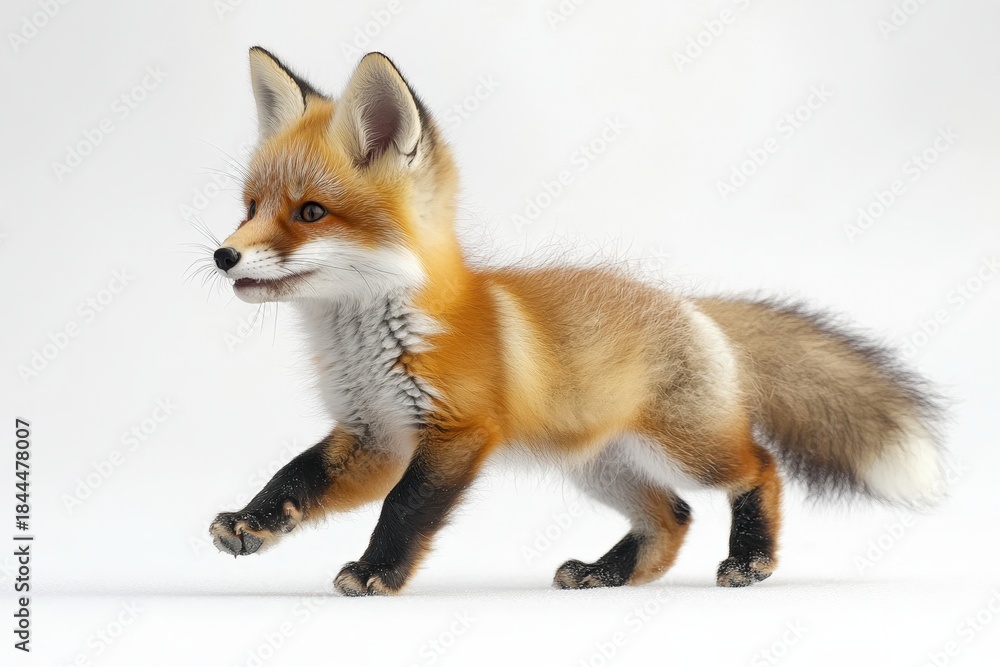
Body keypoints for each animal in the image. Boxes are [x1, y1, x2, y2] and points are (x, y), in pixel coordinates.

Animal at [208, 47, 944, 596]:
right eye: (249, 208)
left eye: (310, 213)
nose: (223, 255)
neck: (371, 342)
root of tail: (691, 304)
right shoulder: (374, 434)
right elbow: (294, 475)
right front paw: (251, 521)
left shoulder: (455, 431)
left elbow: (405, 510)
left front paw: (375, 571)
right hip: (598, 465)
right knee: (672, 517)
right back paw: (606, 573)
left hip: (688, 448)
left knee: (758, 468)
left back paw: (750, 559)